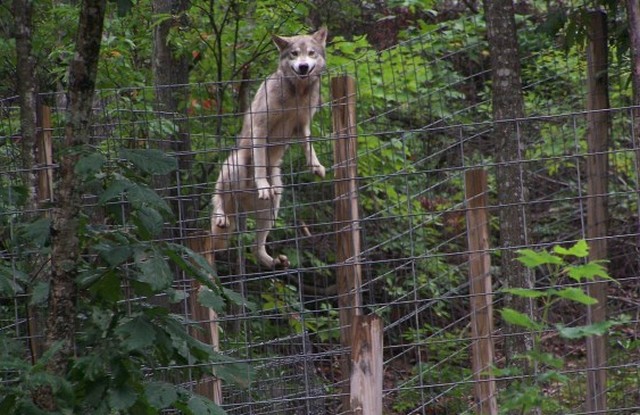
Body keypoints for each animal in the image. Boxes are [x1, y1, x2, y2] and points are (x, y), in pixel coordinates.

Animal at [211, 26, 328, 270]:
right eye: (294, 54)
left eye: (311, 53)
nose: (303, 67)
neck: (296, 93)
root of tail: (243, 201)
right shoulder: (260, 127)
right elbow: (259, 164)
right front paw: (262, 185)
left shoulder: (303, 125)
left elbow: (309, 147)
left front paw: (316, 166)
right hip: (235, 166)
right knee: (217, 199)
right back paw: (221, 215)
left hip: (274, 205)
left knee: (256, 247)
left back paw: (273, 261)